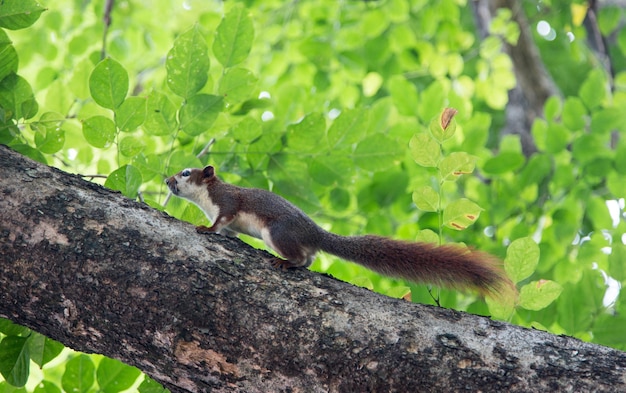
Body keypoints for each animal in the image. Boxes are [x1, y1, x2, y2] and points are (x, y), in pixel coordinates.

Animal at [163, 164, 516, 298]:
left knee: (302, 258)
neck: (206, 198)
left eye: (186, 172)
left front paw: (205, 228)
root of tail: (316, 234)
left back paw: (285, 262)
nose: (167, 180)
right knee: (310, 259)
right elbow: (229, 233)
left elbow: (220, 221)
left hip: (277, 232)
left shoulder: (227, 203)